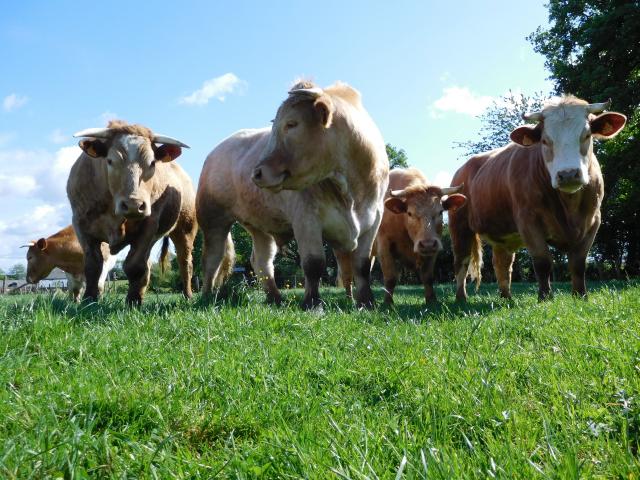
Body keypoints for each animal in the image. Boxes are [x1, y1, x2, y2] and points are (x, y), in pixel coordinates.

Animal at [67, 122, 198, 306]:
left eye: (152, 163)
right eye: (110, 161)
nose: (134, 205)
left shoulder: (149, 225)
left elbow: (134, 266)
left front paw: (133, 301)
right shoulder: (81, 225)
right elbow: (93, 265)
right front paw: (89, 300)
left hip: (186, 229)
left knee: (184, 263)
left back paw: (188, 296)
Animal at [199, 81, 390, 310]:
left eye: (291, 124)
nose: (257, 173)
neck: (352, 193)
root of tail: (217, 149)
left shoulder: (373, 221)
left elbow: (362, 265)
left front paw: (366, 303)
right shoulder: (306, 219)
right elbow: (314, 263)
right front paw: (312, 303)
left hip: (259, 225)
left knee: (261, 261)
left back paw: (275, 298)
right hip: (213, 218)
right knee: (212, 259)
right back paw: (206, 296)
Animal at [376, 168, 464, 304]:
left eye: (440, 212)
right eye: (409, 213)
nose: (427, 244)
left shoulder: (433, 248)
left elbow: (427, 277)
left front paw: (432, 300)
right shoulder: (384, 244)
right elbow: (390, 277)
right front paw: (387, 303)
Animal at [450, 95, 624, 302]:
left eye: (587, 135)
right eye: (544, 140)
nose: (568, 174)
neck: (569, 207)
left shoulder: (593, 220)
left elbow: (578, 263)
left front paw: (580, 296)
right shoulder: (528, 221)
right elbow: (542, 261)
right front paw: (545, 298)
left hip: (502, 234)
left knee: (502, 264)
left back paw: (507, 298)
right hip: (459, 226)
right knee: (461, 262)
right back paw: (461, 299)